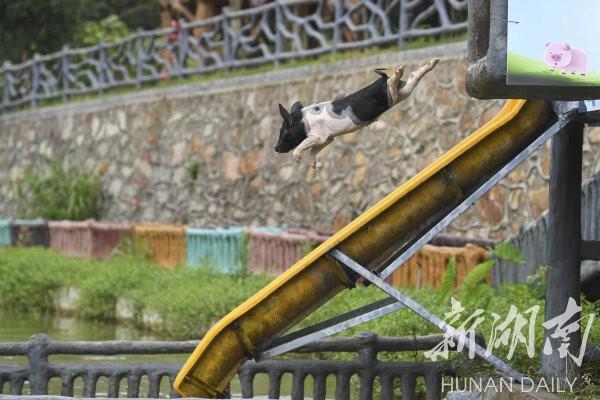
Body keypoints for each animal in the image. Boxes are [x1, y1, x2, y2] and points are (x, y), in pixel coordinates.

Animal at [274, 57, 438, 167]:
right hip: (403, 92)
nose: (275, 148)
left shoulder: (318, 135)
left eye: (283, 131)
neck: (303, 121)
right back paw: (433, 62)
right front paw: (313, 165)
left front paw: (297, 159)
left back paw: (399, 72)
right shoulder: (327, 139)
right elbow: (314, 150)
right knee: (412, 77)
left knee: (392, 83)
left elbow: (305, 144)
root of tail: (380, 81)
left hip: (391, 94)